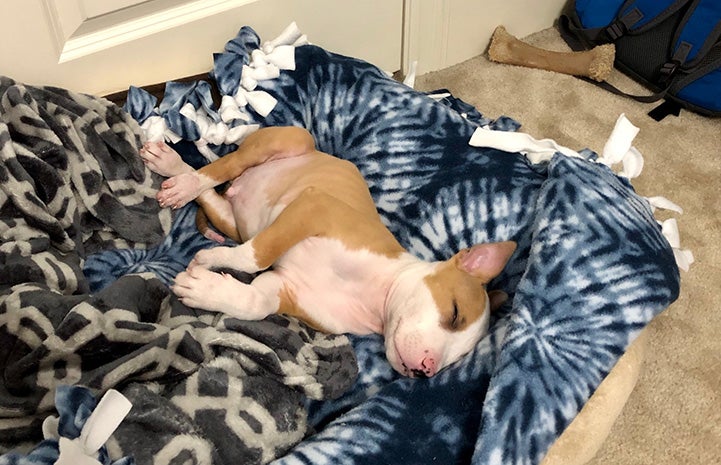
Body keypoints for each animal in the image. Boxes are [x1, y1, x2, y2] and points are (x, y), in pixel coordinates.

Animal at [139, 127, 512, 376]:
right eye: (455, 313)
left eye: (457, 359)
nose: (426, 370)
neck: (376, 296)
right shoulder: (315, 207)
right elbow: (256, 255)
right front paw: (212, 262)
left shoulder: (284, 288)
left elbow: (255, 302)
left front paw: (206, 289)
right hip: (289, 140)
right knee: (219, 168)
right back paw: (178, 174)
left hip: (231, 219)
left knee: (211, 193)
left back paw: (177, 176)